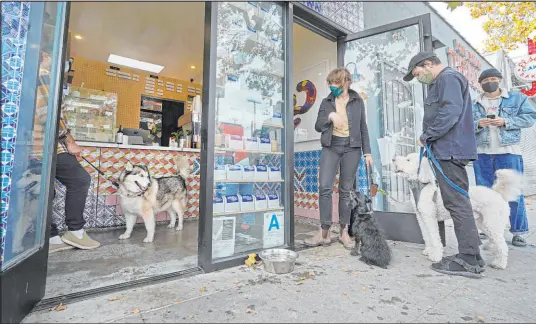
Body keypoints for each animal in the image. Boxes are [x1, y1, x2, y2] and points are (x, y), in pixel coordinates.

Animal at [394, 153, 524, 270]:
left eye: (408, 160)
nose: (393, 159)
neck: (422, 186)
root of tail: (499, 194)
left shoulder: (430, 217)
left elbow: (434, 237)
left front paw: (435, 256)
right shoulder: (421, 217)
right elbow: (426, 236)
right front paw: (428, 251)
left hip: (492, 223)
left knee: (503, 246)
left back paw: (500, 264)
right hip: (485, 223)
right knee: (497, 242)